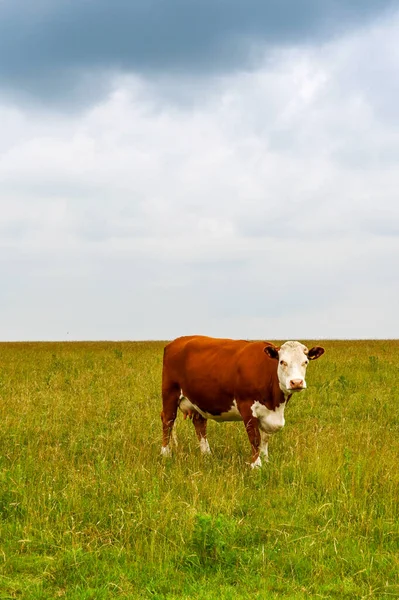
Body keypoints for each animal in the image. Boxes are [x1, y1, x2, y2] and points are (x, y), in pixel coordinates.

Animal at [160, 336, 324, 466]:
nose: (296, 382)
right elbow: (255, 438)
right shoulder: (247, 407)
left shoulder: (269, 414)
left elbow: (265, 438)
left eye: (305, 362)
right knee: (168, 420)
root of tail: (176, 342)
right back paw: (165, 453)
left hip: (199, 399)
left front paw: (266, 460)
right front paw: (256, 465)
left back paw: (207, 454)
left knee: (199, 423)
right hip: (170, 393)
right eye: (282, 362)